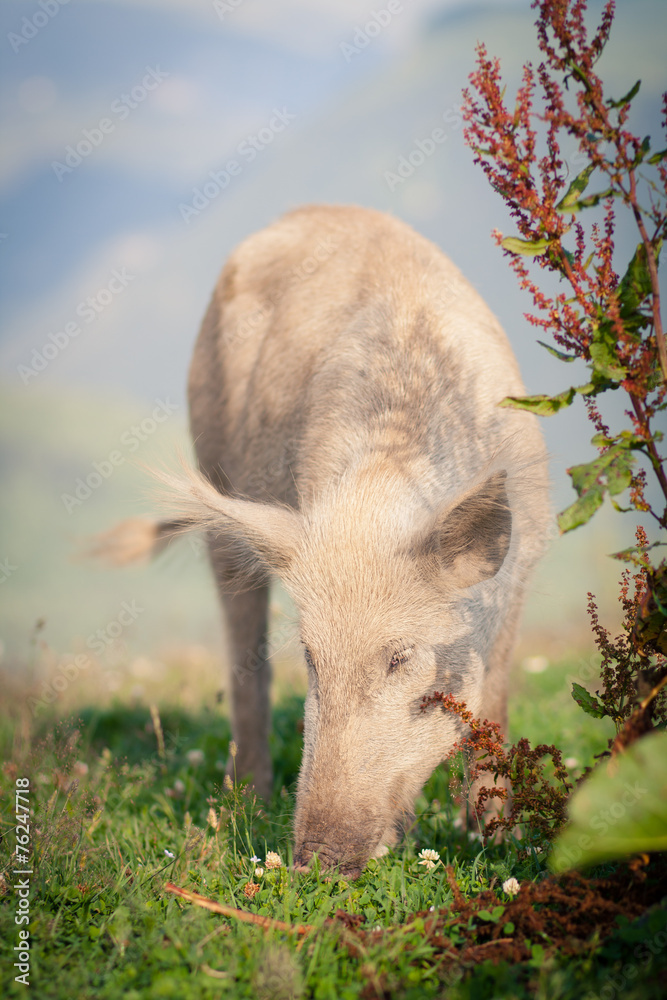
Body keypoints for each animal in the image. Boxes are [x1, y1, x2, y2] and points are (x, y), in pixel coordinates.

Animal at [99, 205, 550, 879]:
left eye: (400, 657)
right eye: (311, 657)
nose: (315, 862)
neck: (380, 495)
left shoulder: (524, 564)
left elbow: (492, 701)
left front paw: (495, 841)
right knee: (245, 661)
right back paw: (249, 801)